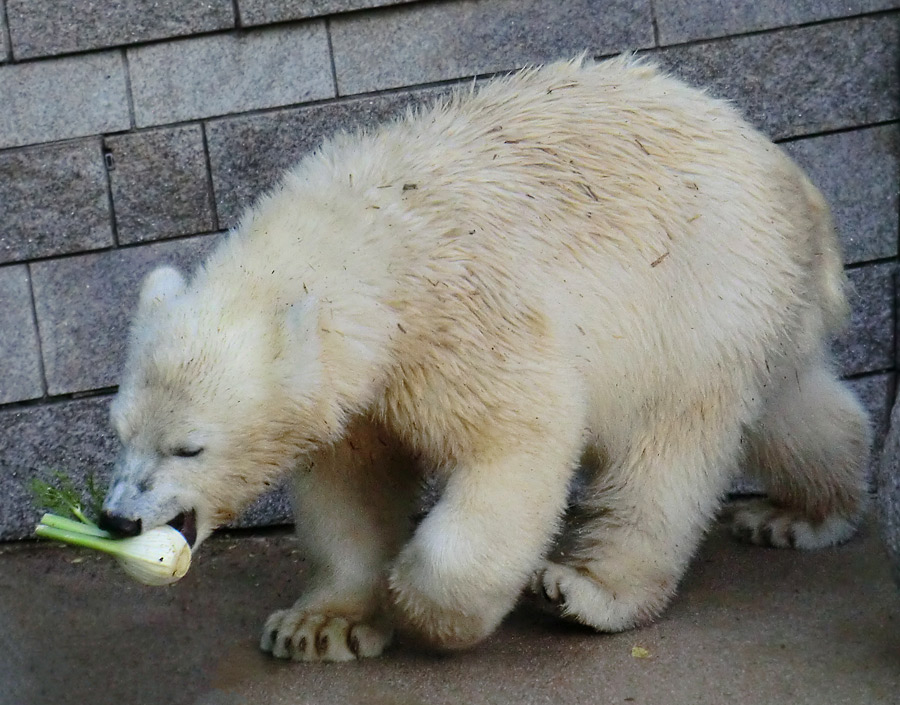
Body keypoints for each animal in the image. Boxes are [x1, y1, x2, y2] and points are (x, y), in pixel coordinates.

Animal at [102, 55, 868, 660]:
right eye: (122, 431)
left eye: (190, 447)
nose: (116, 520)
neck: (372, 237)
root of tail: (793, 181)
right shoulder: (357, 398)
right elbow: (349, 490)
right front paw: (320, 626)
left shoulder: (461, 319)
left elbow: (519, 440)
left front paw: (421, 604)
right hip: (753, 304)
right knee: (790, 404)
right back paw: (800, 513)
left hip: (698, 290)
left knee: (666, 450)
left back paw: (589, 589)